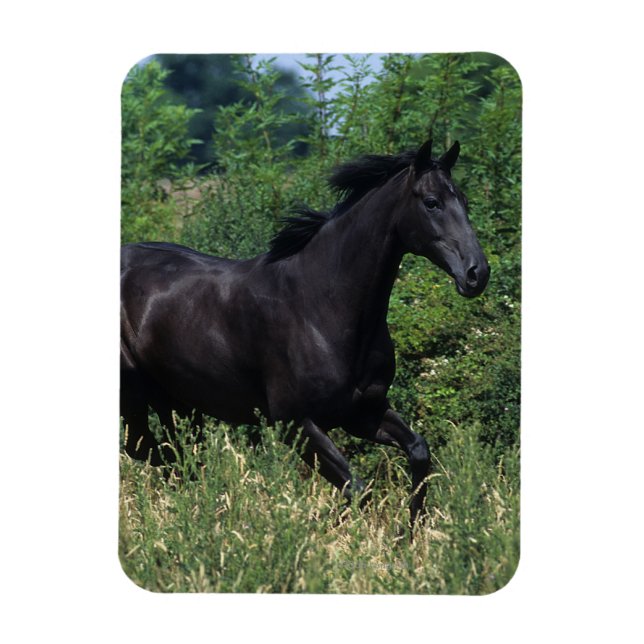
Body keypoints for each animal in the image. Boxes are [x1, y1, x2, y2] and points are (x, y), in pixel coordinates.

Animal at [120, 139, 490, 530]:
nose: (476, 273)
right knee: (150, 451)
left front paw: (408, 536)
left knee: (177, 456)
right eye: (432, 202)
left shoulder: (363, 411)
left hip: (178, 401)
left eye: (464, 200)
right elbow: (357, 488)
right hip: (135, 397)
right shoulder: (295, 424)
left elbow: (418, 453)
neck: (318, 304)